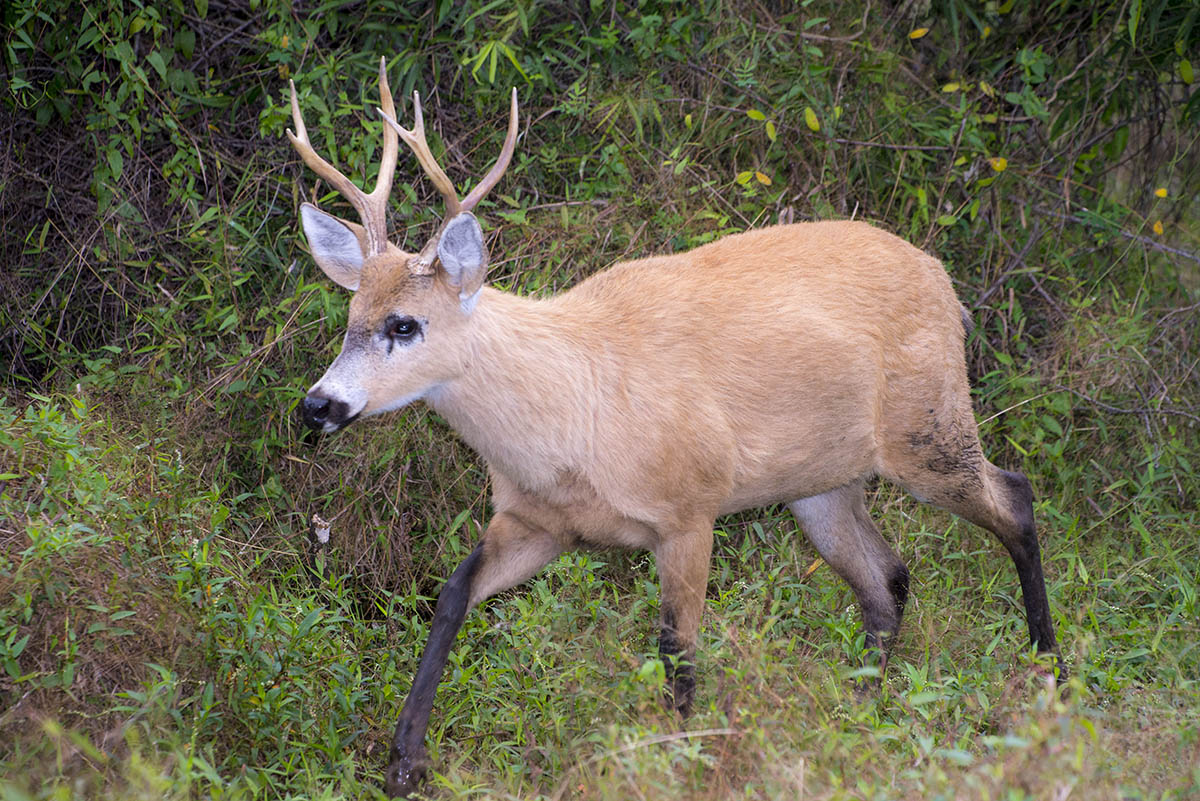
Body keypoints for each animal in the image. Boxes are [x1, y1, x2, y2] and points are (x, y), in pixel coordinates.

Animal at [286, 60, 1061, 798]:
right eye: (350, 317)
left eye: (404, 324)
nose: (318, 404)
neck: (575, 410)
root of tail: (945, 283)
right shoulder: (537, 520)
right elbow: (450, 596)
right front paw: (403, 765)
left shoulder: (689, 509)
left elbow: (676, 649)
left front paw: (679, 760)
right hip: (822, 484)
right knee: (887, 579)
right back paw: (859, 712)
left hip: (927, 425)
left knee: (1015, 498)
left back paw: (1047, 679)